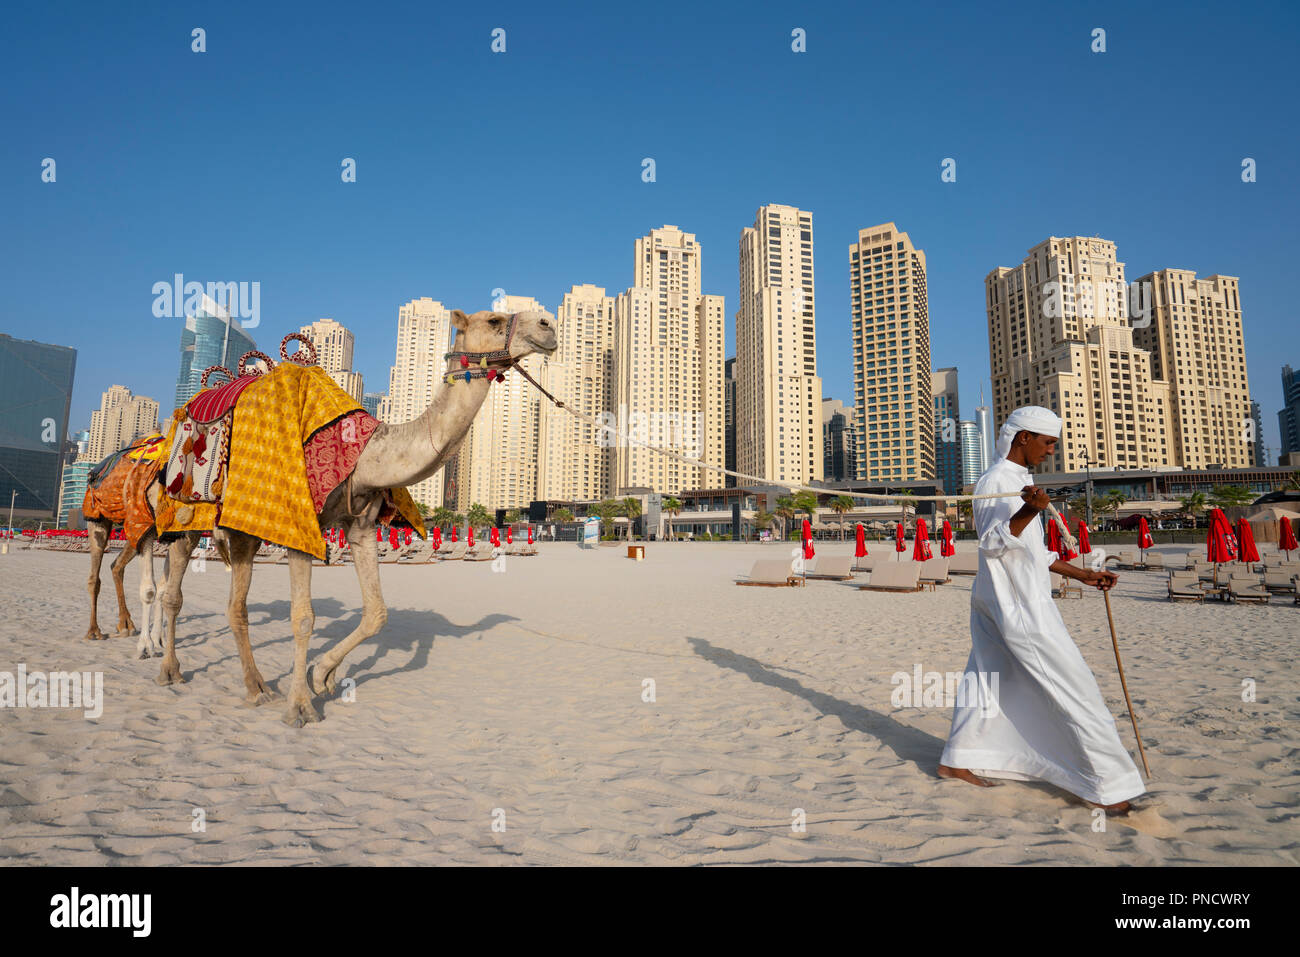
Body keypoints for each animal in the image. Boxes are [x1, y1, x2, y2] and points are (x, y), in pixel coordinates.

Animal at [153, 312, 559, 722]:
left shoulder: (361, 525)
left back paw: (257, 687)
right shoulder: (301, 523)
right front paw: (301, 707)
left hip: (243, 528)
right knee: (174, 592)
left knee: (236, 606)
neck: (366, 454)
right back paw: (170, 671)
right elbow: (303, 618)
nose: (548, 325)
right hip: (186, 517)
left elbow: (376, 612)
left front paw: (322, 675)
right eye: (493, 319)